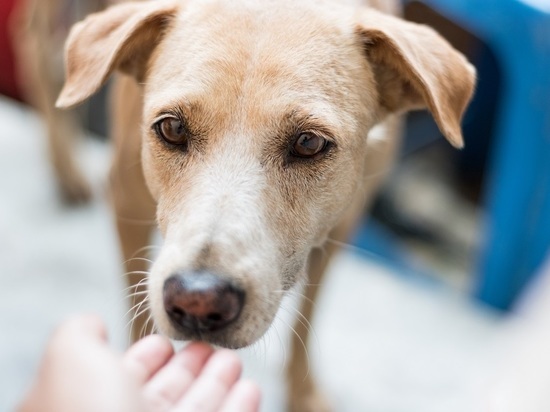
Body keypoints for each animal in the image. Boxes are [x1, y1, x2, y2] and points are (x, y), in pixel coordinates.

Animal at [56, 1, 476, 410]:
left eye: (309, 142)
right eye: (172, 129)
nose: (197, 299)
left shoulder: (341, 227)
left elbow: (309, 314)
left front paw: (301, 392)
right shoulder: (126, 203)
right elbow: (140, 313)